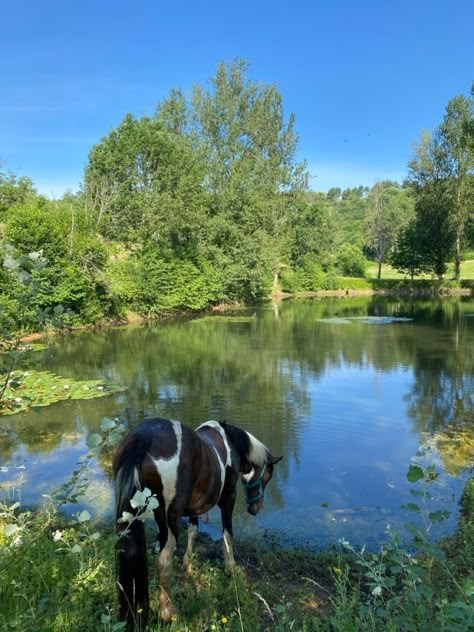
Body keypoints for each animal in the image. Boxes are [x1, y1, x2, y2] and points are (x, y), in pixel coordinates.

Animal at [112, 414, 282, 628]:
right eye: (268, 476)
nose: (255, 508)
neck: (230, 442)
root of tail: (144, 437)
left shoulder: (195, 506)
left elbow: (193, 531)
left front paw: (188, 565)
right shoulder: (228, 499)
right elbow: (228, 535)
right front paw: (231, 568)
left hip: (135, 516)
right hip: (170, 519)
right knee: (164, 561)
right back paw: (168, 613)